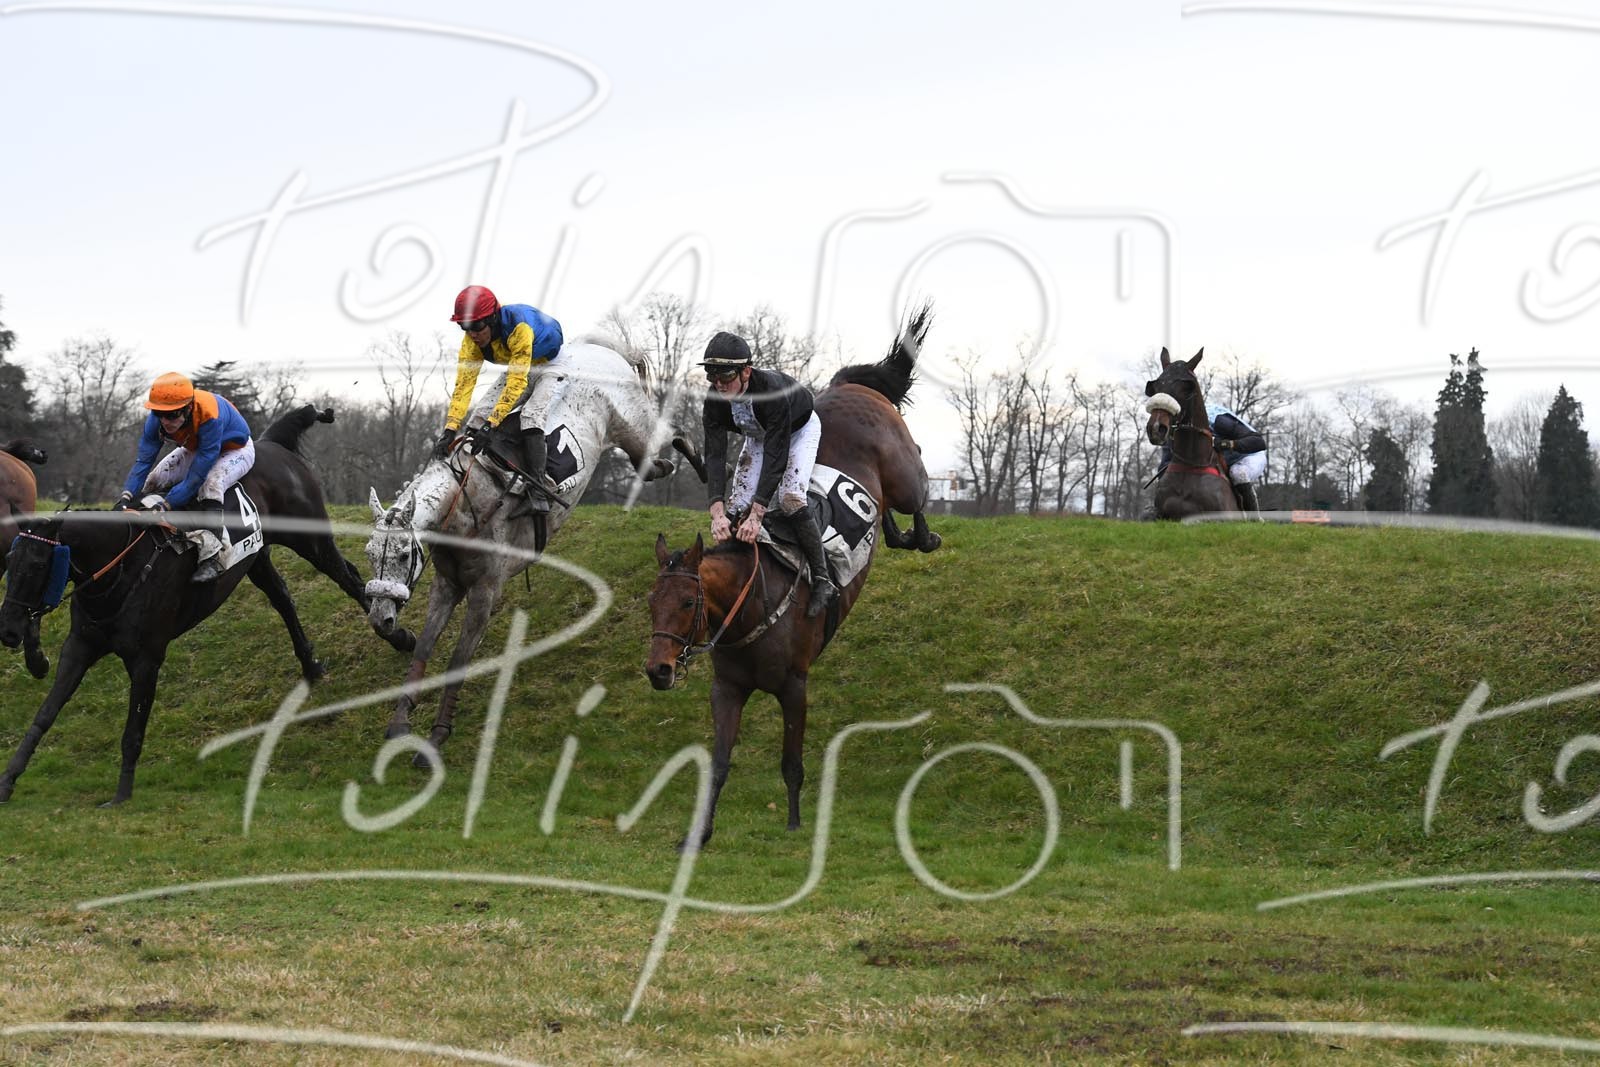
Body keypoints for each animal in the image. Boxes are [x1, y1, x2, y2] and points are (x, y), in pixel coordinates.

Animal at [0, 405, 415, 806]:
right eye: (10, 560)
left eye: (36, 565)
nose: (9, 629)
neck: (122, 565)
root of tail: (270, 441)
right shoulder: (80, 646)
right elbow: (45, 714)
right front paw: (8, 780)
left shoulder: (147, 658)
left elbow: (132, 730)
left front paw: (121, 794)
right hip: (256, 557)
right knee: (282, 596)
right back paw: (311, 665)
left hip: (309, 537)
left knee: (347, 577)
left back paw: (398, 637)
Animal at [365, 340, 688, 761]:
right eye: (371, 554)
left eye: (404, 555)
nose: (380, 618)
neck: (468, 502)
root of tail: (603, 350)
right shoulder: (446, 586)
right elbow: (422, 649)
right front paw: (400, 723)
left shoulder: (485, 592)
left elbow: (457, 661)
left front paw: (436, 737)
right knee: (651, 465)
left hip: (634, 422)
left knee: (669, 433)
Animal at [644, 307, 940, 849]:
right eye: (652, 603)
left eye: (687, 604)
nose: (658, 670)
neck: (749, 610)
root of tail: (848, 384)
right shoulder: (728, 689)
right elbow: (718, 764)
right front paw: (699, 833)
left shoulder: (795, 686)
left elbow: (791, 763)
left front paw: (795, 822)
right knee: (884, 514)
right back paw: (900, 535)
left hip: (900, 469)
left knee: (913, 488)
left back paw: (925, 536)